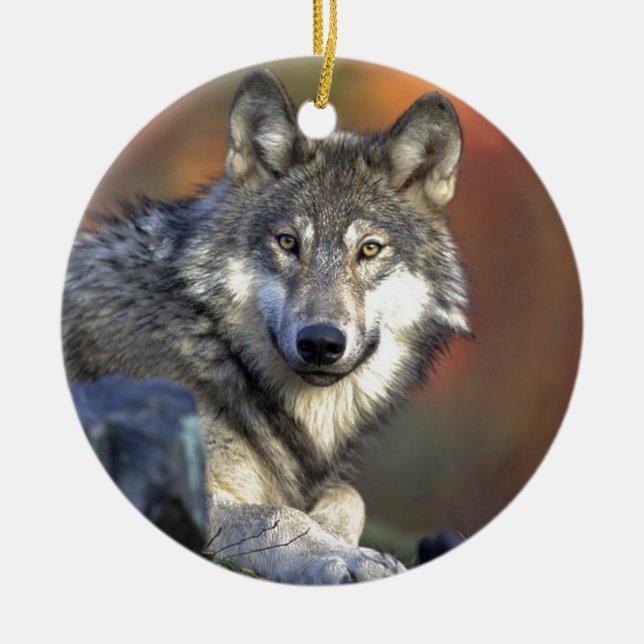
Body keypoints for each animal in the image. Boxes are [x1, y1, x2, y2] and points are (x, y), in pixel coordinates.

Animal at [62, 68, 471, 584]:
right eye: (288, 242)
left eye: (370, 249)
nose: (321, 343)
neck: (214, 345)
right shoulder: (183, 486)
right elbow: (279, 514)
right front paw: (344, 555)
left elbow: (349, 495)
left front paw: (337, 535)